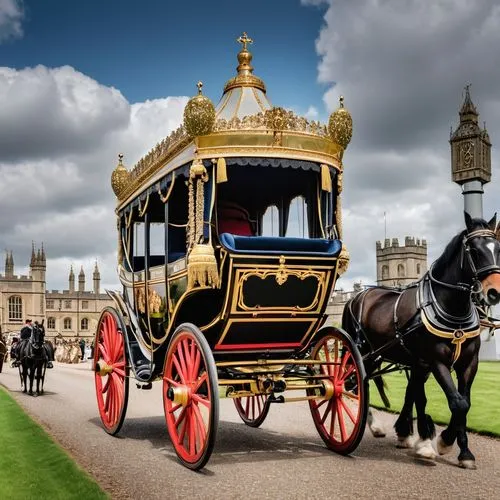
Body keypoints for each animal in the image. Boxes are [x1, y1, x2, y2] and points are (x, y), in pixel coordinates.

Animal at [342, 214, 500, 468]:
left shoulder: (466, 363)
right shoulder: (435, 361)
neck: (452, 308)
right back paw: (374, 425)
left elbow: (462, 403)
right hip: (363, 353)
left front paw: (461, 450)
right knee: (356, 383)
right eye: (474, 250)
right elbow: (456, 402)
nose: (494, 292)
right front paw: (441, 442)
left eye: (498, 248)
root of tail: (357, 296)